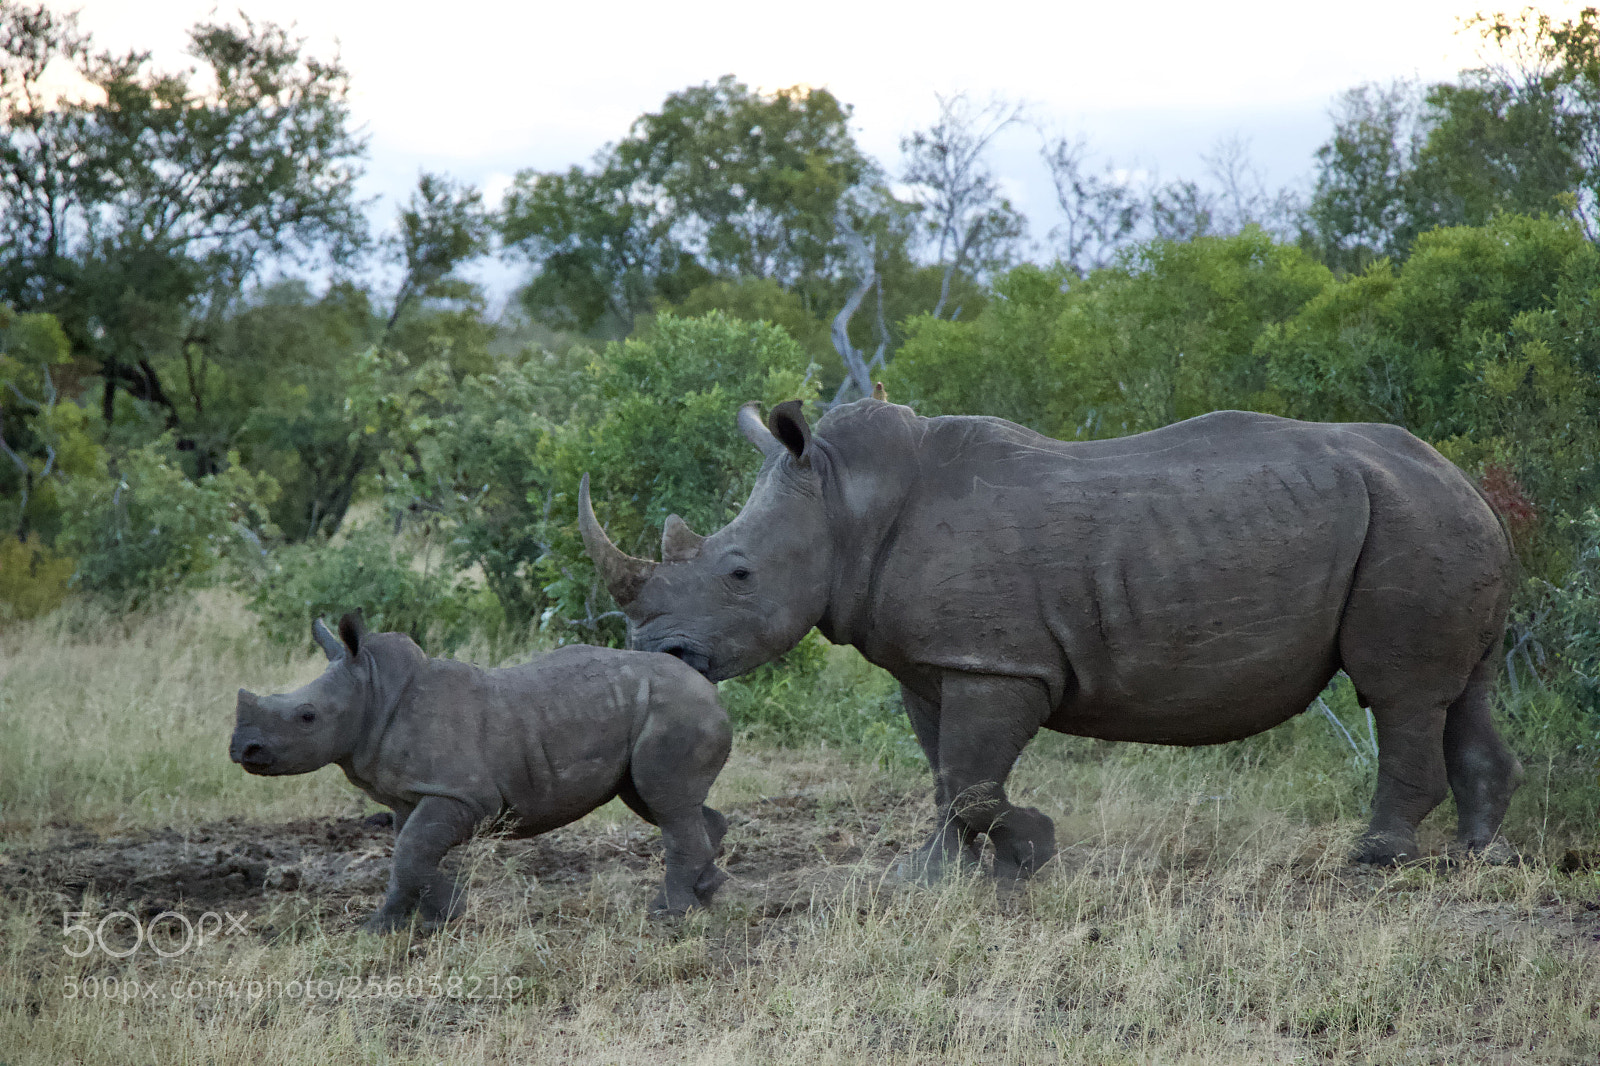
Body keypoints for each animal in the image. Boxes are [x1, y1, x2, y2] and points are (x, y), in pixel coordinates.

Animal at [229, 613, 732, 930]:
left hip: (676, 710)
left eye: (307, 717)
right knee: (660, 802)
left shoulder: (462, 795)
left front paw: (437, 917)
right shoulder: (410, 795)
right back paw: (706, 891)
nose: (241, 748)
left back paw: (668, 914)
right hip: (655, 711)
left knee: (665, 801)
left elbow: (411, 853)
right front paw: (398, 924)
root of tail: (708, 688)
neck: (374, 693)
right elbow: (406, 853)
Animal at [580, 398, 1524, 878]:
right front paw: (937, 877)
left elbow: (971, 780)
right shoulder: (938, 662)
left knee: (1398, 693)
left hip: (1411, 523)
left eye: (738, 573)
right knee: (1464, 690)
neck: (846, 501)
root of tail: (1464, 478)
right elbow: (946, 775)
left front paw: (1028, 851)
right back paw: (1476, 858)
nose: (662, 654)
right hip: (1436, 520)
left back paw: (1374, 863)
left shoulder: (999, 663)